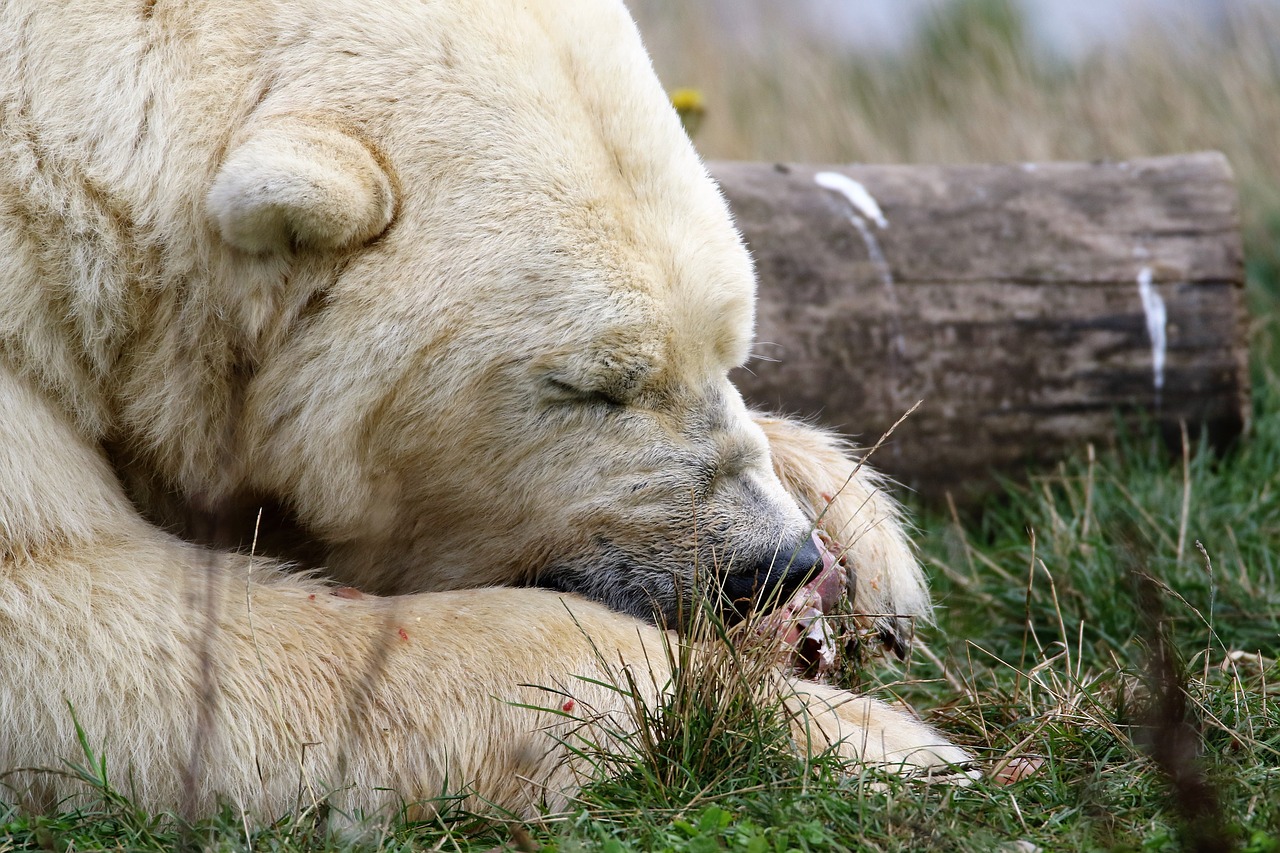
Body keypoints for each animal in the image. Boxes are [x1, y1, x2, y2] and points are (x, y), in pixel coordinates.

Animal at [0, 0, 962, 819]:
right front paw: (862, 736)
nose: (775, 565)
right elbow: (113, 623)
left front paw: (861, 541)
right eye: (592, 386)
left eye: (733, 347)